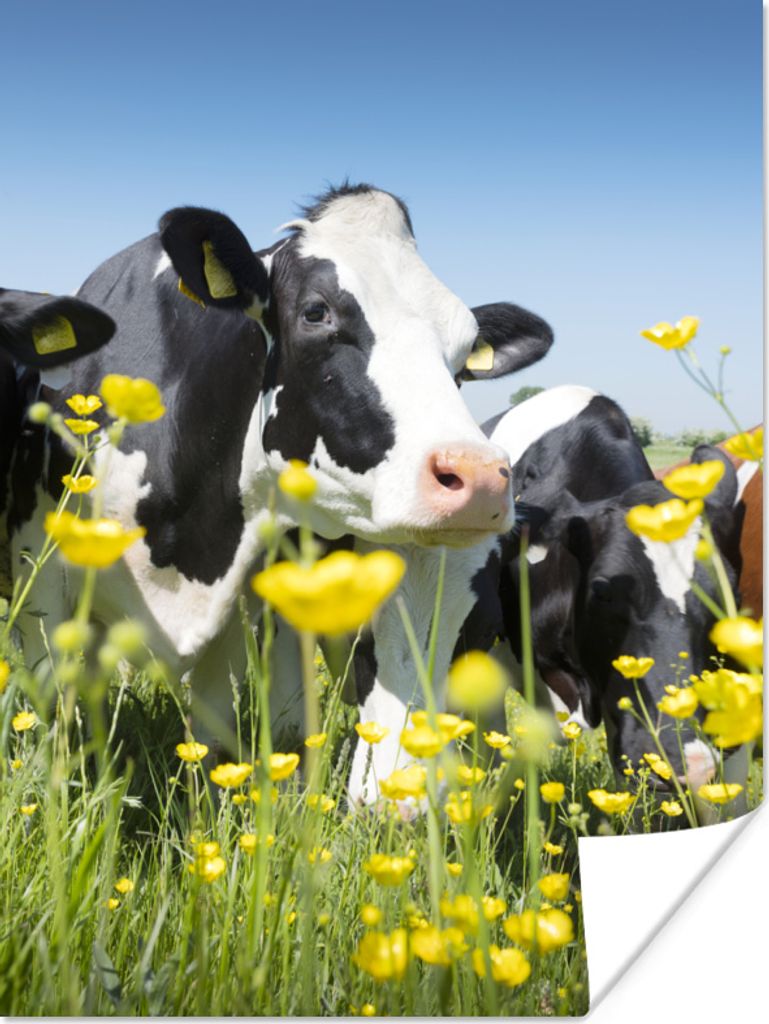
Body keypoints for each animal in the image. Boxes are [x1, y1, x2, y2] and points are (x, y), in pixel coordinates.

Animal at [7, 185, 554, 804]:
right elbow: (53, 718)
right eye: (316, 312)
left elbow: (217, 737)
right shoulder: (40, 579)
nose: (479, 476)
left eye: (462, 355)